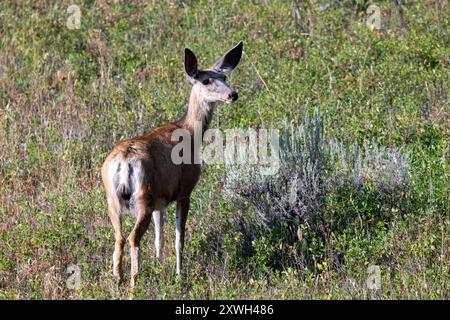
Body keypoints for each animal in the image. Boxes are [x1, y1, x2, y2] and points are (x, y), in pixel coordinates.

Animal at [100, 40, 244, 288]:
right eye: (206, 80)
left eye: (224, 77)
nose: (232, 94)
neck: (191, 132)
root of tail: (125, 160)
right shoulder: (184, 191)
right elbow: (179, 237)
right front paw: (178, 274)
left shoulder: (161, 200)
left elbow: (160, 237)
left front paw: (159, 267)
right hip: (143, 198)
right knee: (133, 237)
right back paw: (134, 284)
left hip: (114, 200)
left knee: (119, 238)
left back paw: (117, 281)